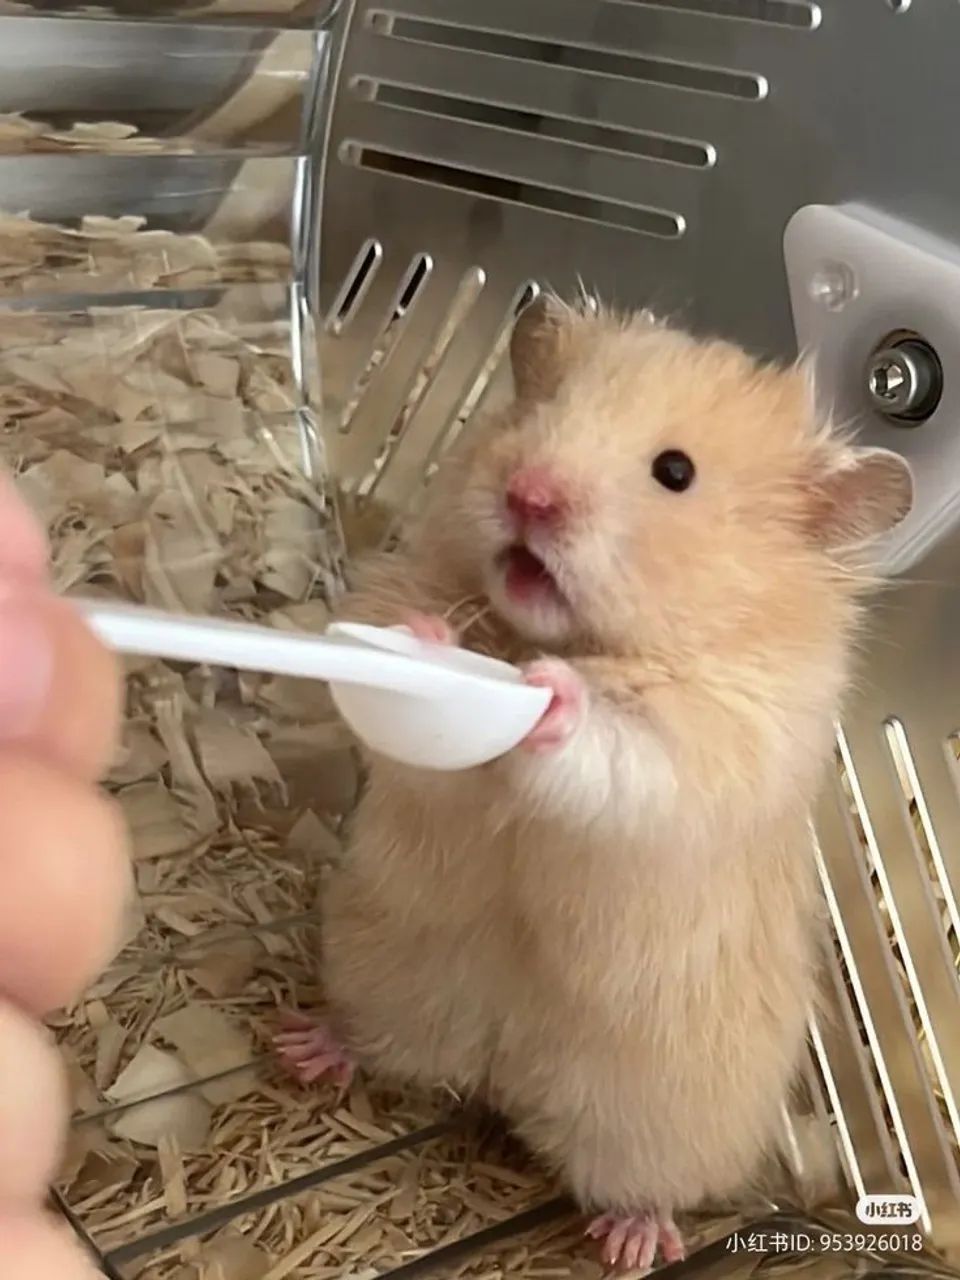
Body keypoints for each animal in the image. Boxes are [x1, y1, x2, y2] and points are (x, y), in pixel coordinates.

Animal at [276, 297, 913, 1272]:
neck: (558, 636)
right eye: (539, 412)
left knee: (638, 1182)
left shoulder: (720, 741)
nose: (528, 492)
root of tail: (502, 1073)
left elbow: (622, 751)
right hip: (383, 971)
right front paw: (429, 639)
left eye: (675, 472)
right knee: (384, 1045)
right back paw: (305, 1047)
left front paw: (552, 697)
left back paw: (633, 1242)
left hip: (656, 1117)